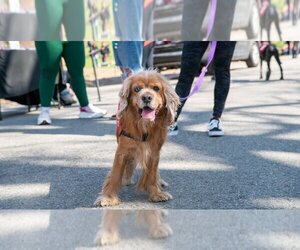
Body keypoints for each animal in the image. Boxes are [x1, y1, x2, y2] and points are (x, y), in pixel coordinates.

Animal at [94, 70, 179, 207]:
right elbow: (115, 175)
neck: (143, 125)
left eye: (156, 88)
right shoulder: (122, 151)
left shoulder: (154, 152)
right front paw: (108, 198)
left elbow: (151, 174)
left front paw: (156, 193)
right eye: (137, 89)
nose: (146, 97)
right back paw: (127, 179)